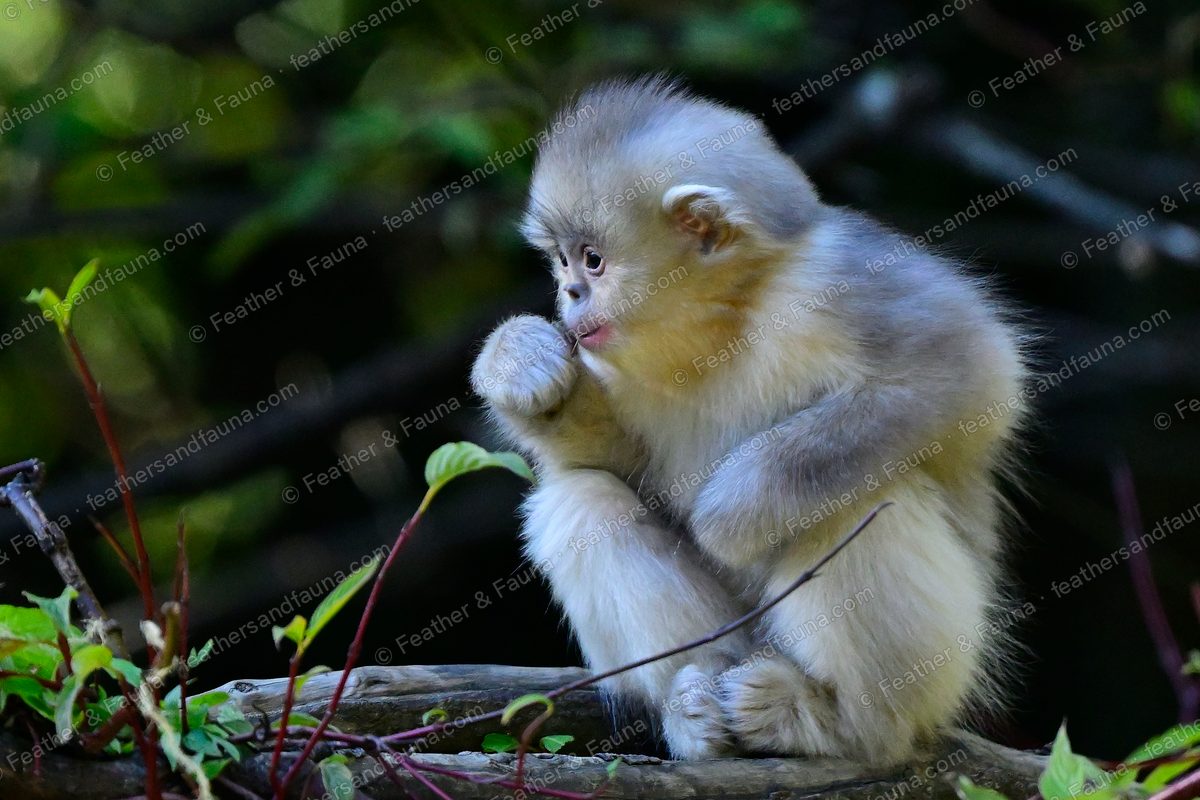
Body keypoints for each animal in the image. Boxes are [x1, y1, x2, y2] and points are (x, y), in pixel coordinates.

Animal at [470, 76, 1029, 765]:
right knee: (583, 500)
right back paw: (698, 707)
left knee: (855, 497)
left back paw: (833, 722)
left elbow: (975, 370)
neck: (727, 318)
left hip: (947, 664)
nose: (569, 294)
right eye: (562, 263)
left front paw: (728, 517)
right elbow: (611, 459)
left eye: (593, 260)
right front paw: (519, 360)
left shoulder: (836, 278)